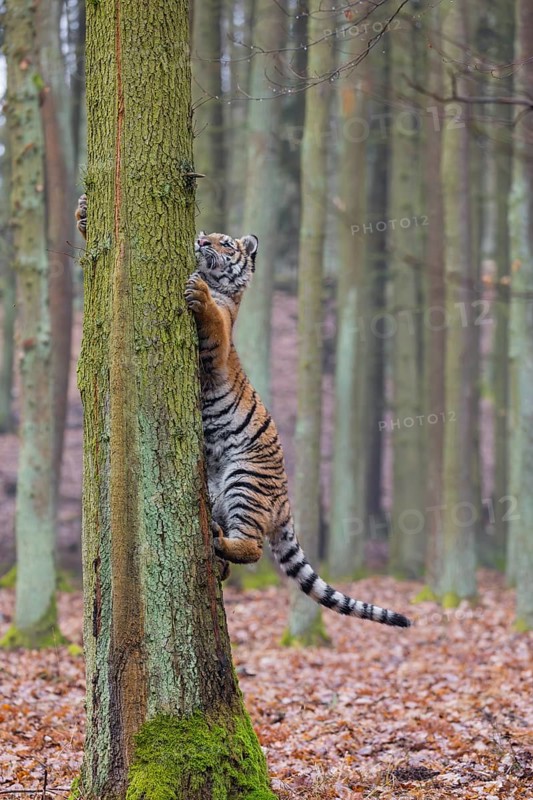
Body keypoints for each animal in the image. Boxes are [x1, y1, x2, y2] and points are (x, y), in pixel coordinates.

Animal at [75, 195, 411, 628]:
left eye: (225, 243)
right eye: (205, 237)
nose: (202, 243)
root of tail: (286, 501)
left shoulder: (218, 342)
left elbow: (214, 321)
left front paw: (199, 292)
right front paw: (84, 212)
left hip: (245, 481)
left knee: (253, 547)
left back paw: (223, 543)